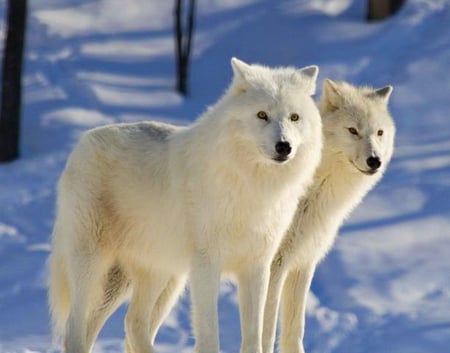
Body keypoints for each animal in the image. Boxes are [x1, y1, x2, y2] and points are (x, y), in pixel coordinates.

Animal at [48, 57, 324, 352]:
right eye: (262, 115)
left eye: (294, 117)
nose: (284, 146)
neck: (252, 185)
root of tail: (83, 140)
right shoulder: (207, 265)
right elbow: (210, 336)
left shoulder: (257, 267)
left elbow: (253, 336)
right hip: (94, 263)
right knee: (75, 327)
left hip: (159, 275)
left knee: (132, 323)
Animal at [262, 78, 396, 352]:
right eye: (353, 130)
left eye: (379, 133)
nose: (375, 161)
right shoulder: (273, 265)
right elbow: (266, 332)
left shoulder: (302, 263)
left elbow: (294, 332)